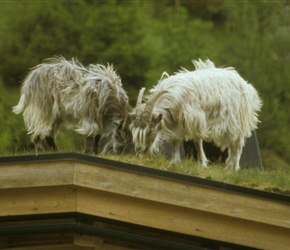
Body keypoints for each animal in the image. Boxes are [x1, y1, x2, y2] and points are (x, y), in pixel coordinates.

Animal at [130, 59, 262, 171]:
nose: (139, 150)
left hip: (237, 121)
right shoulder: (176, 122)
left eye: (150, 131)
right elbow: (175, 140)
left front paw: (202, 163)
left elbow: (197, 141)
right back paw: (229, 167)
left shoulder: (195, 119)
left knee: (237, 144)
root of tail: (247, 87)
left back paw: (232, 168)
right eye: (133, 130)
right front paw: (174, 161)